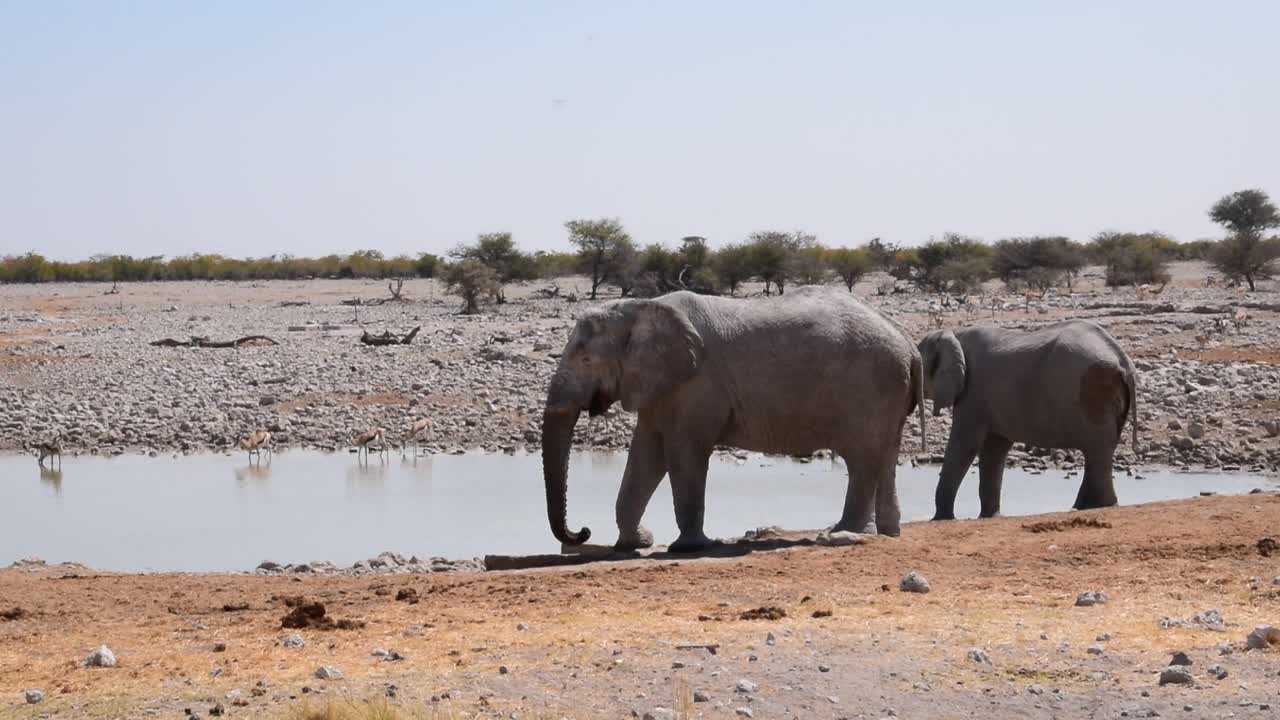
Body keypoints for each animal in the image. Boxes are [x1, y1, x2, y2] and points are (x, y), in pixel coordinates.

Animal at [535, 285, 926, 548]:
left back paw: (841, 533)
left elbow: (684, 454)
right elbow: (645, 457)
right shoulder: (660, 386)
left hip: (870, 385)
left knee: (862, 458)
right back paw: (887, 532)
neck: (640, 307)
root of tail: (909, 343)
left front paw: (688, 548)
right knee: (885, 455)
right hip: (888, 389)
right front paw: (637, 543)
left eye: (586, 359)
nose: (583, 532)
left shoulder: (695, 383)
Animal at [921, 317, 1141, 515]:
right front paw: (990, 516)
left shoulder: (973, 393)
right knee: (1099, 451)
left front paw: (941, 518)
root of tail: (1122, 359)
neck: (952, 332)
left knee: (1097, 449)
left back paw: (1101, 506)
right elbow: (994, 448)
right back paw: (1083, 507)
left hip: (1094, 389)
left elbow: (965, 445)